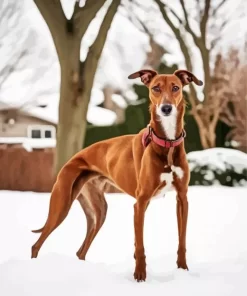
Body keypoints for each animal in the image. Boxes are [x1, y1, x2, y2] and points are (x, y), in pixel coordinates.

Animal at [31, 68, 203, 280]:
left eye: (176, 88)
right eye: (155, 88)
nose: (166, 108)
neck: (167, 143)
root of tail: (72, 159)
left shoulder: (182, 199)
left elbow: (182, 240)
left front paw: (183, 270)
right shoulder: (140, 203)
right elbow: (140, 245)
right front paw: (140, 276)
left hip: (98, 212)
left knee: (81, 251)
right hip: (61, 205)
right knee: (36, 244)